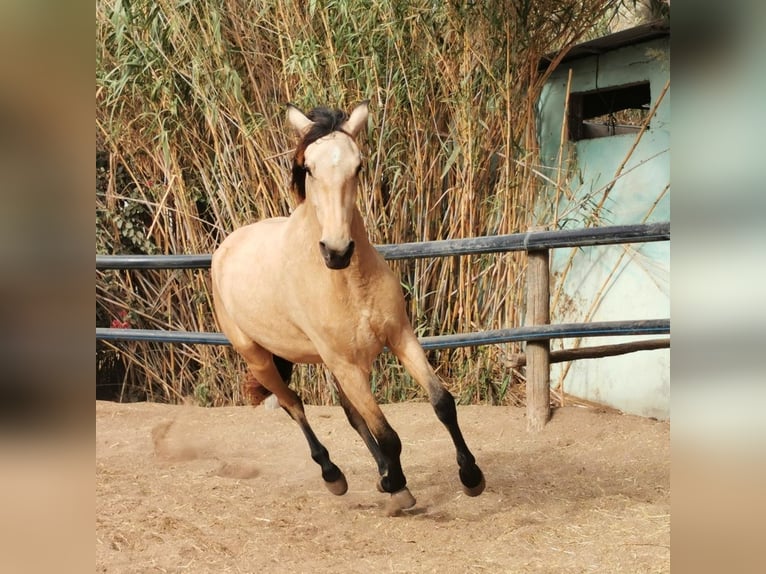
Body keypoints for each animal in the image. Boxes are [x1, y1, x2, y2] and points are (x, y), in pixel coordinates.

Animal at [210, 101, 486, 516]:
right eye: (308, 167)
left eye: (358, 166)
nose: (337, 251)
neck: (349, 282)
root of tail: (228, 245)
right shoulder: (346, 363)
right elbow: (386, 432)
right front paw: (400, 490)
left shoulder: (399, 338)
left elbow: (442, 403)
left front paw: (471, 478)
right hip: (260, 358)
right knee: (294, 405)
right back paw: (334, 475)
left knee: (350, 414)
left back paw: (382, 475)